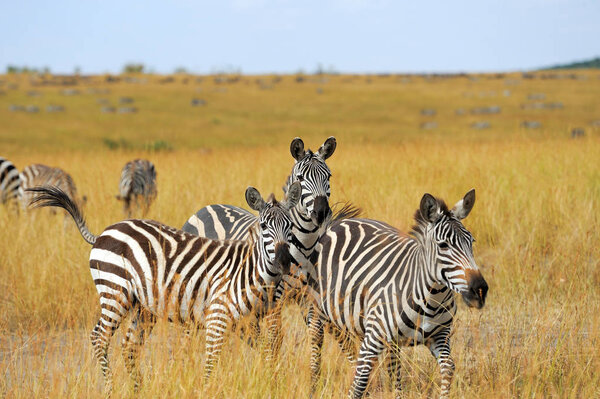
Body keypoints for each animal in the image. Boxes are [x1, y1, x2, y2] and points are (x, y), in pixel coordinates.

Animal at [27, 183, 300, 396]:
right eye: (264, 226)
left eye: (290, 227)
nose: (284, 261)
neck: (252, 272)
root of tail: (104, 232)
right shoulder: (217, 316)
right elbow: (212, 362)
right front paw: (208, 389)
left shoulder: (249, 322)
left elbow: (268, 351)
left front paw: (272, 383)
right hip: (115, 292)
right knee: (99, 337)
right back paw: (111, 389)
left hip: (142, 306)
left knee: (129, 346)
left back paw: (139, 390)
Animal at [180, 138, 340, 360]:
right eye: (300, 177)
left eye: (329, 176)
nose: (321, 212)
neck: (304, 245)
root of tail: (206, 207)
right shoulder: (275, 297)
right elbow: (275, 339)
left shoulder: (309, 297)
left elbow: (316, 337)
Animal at [310, 191, 488, 399]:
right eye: (443, 245)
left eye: (471, 242)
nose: (480, 290)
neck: (432, 299)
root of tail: (338, 222)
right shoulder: (373, 339)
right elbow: (358, 386)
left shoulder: (440, 336)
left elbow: (448, 368)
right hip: (318, 310)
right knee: (316, 345)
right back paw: (313, 387)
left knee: (392, 368)